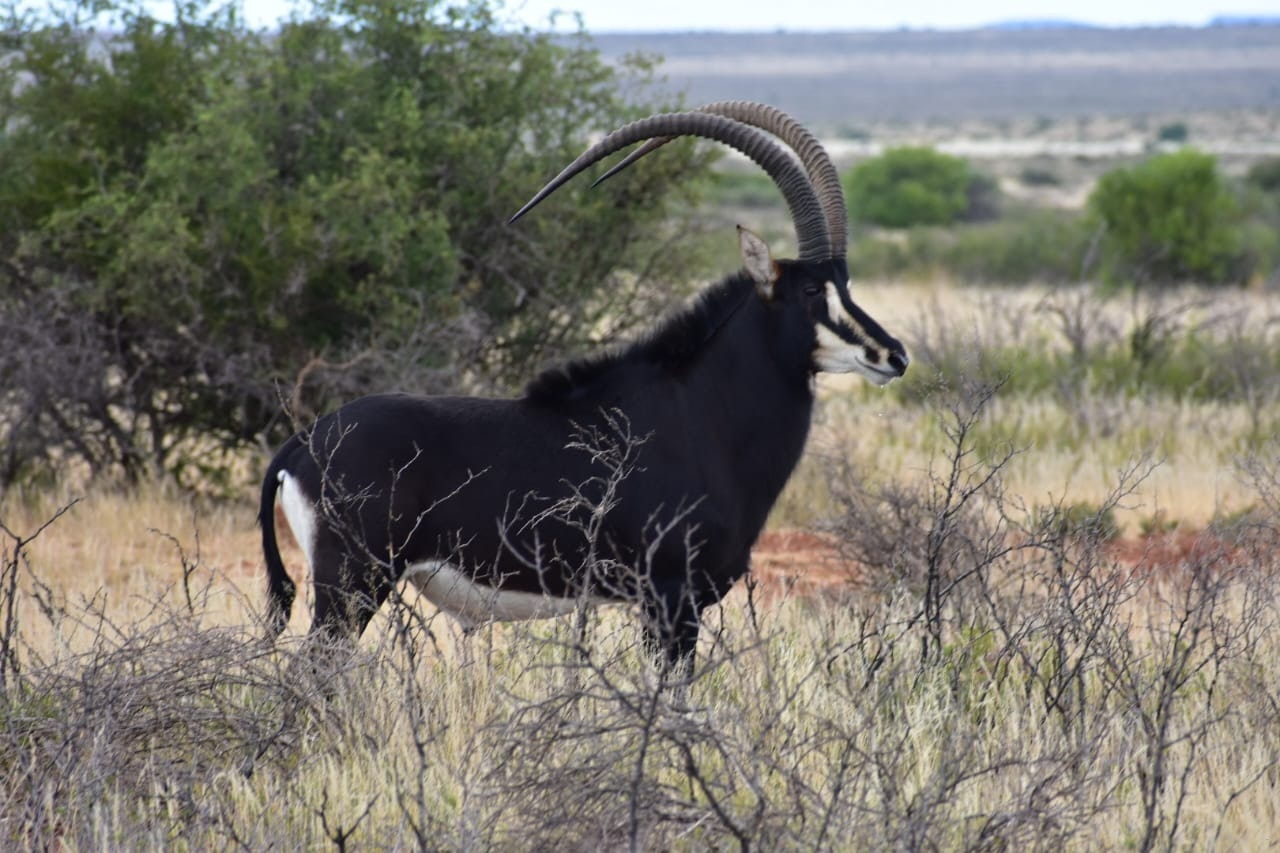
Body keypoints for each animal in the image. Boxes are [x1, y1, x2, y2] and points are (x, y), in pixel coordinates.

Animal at [259, 101, 908, 675]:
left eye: (846, 284)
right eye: (810, 291)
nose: (894, 355)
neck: (699, 412)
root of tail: (300, 445)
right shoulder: (670, 599)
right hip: (352, 585)